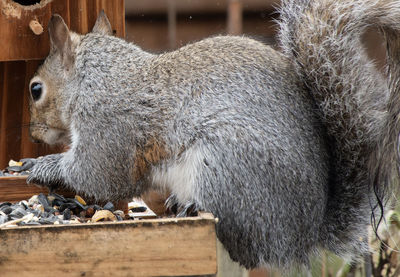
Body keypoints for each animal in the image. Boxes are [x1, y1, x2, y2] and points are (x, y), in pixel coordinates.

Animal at [26, 0, 400, 268]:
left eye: (35, 89)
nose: (32, 134)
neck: (97, 78)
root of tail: (302, 236)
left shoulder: (108, 127)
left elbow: (98, 175)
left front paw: (43, 166)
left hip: (226, 165)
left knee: (245, 244)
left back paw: (195, 207)